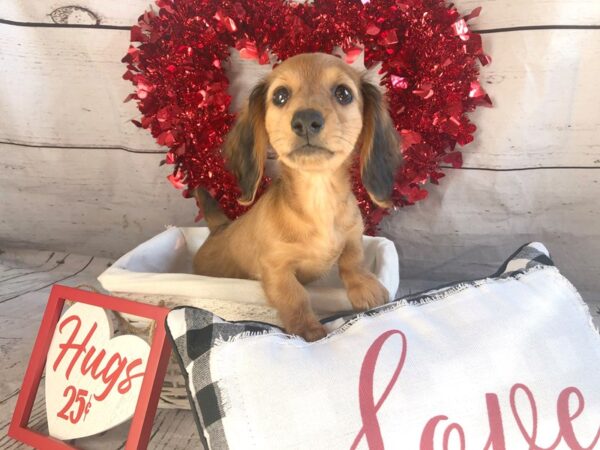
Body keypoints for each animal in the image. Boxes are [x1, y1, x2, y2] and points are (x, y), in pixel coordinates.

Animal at [195, 52, 400, 342]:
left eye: (344, 93)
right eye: (280, 95)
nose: (305, 120)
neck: (318, 199)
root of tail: (218, 229)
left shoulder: (353, 236)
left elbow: (353, 260)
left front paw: (366, 287)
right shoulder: (276, 268)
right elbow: (295, 296)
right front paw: (308, 329)